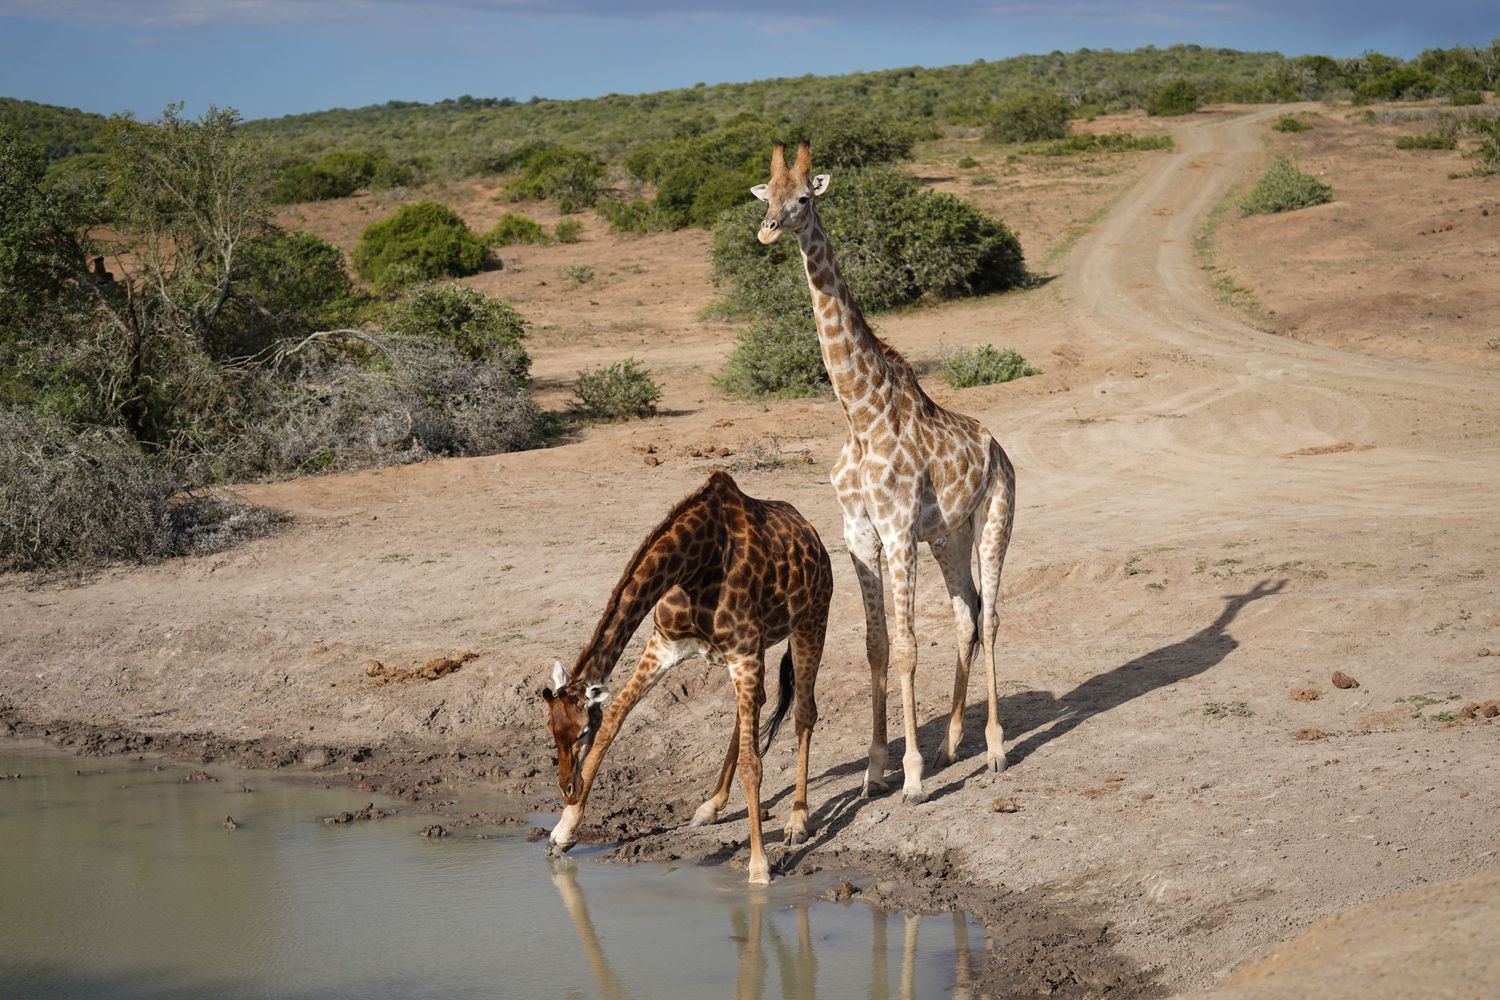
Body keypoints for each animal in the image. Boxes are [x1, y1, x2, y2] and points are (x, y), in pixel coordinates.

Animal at [542, 470, 833, 884]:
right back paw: (710, 807)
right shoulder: (664, 645)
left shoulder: (744, 653)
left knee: (804, 713)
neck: (697, 562)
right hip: (758, 650)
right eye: (552, 732)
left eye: (582, 732)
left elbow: (752, 765)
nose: (567, 788)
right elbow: (614, 720)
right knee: (753, 711)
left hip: (811, 621)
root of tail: (813, 535)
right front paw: (563, 831)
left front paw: (759, 868)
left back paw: (797, 821)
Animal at [752, 141, 1017, 804]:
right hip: (948, 537)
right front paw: (876, 769)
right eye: (767, 195)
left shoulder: (898, 531)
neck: (860, 412)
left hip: (996, 519)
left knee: (992, 616)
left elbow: (905, 647)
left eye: (804, 198)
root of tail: (999, 449)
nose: (767, 230)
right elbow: (876, 647)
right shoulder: (860, 533)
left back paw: (995, 748)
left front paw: (914, 777)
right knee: (967, 613)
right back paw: (953, 741)